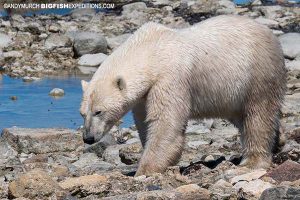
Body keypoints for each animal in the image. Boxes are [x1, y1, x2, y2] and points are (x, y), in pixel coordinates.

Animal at [79, 15, 286, 175]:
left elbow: (165, 122)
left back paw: (253, 161)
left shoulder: (170, 78)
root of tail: (270, 34)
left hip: (257, 74)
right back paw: (279, 141)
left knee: (257, 116)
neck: (152, 50)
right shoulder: (144, 95)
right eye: (82, 113)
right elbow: (145, 121)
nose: (88, 138)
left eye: (98, 111)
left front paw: (146, 169)